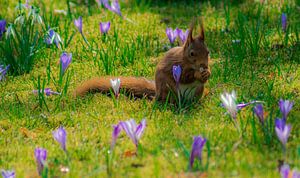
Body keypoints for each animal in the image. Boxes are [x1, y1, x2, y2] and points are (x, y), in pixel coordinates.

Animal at [74, 22, 211, 103]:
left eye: (208, 52)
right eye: (192, 53)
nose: (204, 65)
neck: (187, 61)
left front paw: (208, 73)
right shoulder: (176, 65)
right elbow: (185, 76)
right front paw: (198, 74)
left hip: (198, 90)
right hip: (167, 88)